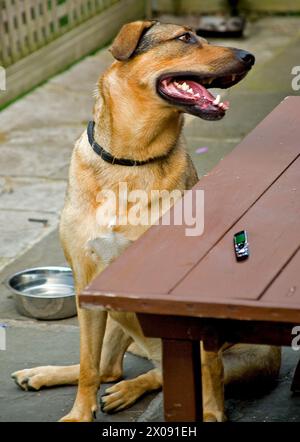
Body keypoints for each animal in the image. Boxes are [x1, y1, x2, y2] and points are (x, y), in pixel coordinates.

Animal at [11, 20, 278, 422]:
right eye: (185, 38)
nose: (249, 57)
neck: (130, 160)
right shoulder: (88, 283)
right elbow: (88, 366)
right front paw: (80, 413)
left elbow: (207, 369)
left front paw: (212, 414)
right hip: (112, 314)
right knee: (108, 367)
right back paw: (45, 375)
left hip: (243, 353)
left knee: (166, 372)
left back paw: (129, 389)